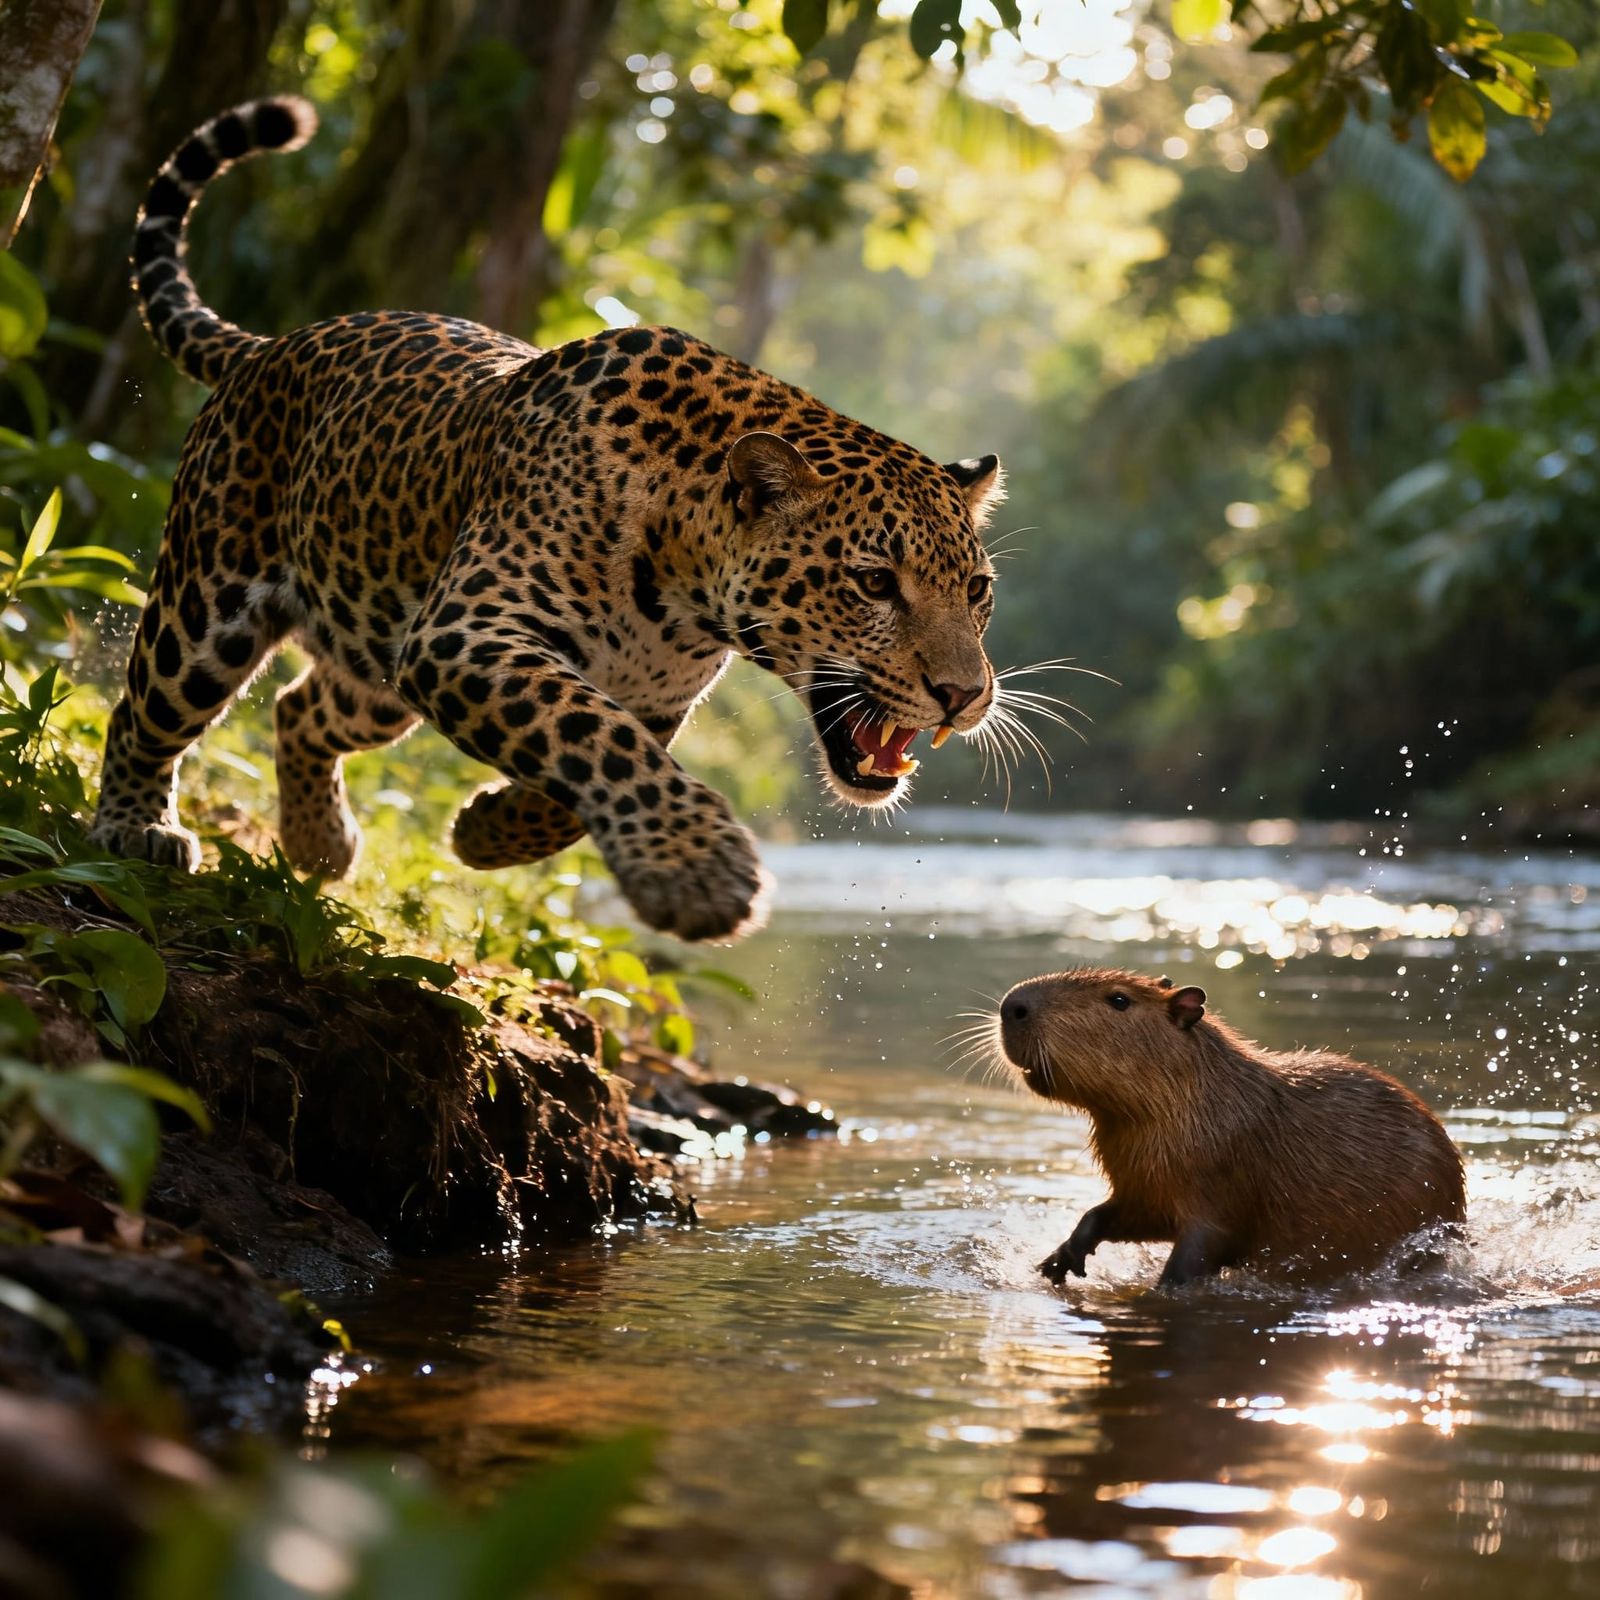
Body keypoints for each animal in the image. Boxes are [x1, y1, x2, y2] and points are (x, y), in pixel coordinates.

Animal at [89, 98, 1006, 943]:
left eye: (977, 590)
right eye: (875, 583)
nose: (965, 696)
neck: (686, 588)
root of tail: (269, 347)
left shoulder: (647, 697)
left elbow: (584, 772)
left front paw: (486, 831)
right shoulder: (465, 632)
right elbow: (594, 736)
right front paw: (699, 871)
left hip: (376, 654)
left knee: (299, 708)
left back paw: (320, 842)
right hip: (210, 605)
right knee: (146, 708)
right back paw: (135, 828)